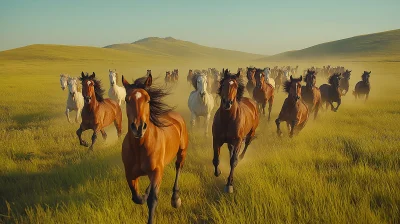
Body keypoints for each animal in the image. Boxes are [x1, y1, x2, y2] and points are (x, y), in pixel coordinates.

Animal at [121, 73, 188, 224]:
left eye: (148, 100)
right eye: (127, 100)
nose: (138, 127)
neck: (139, 148)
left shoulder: (157, 171)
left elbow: (152, 200)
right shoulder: (129, 173)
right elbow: (136, 197)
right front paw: (143, 195)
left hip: (182, 152)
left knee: (178, 167)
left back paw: (175, 199)